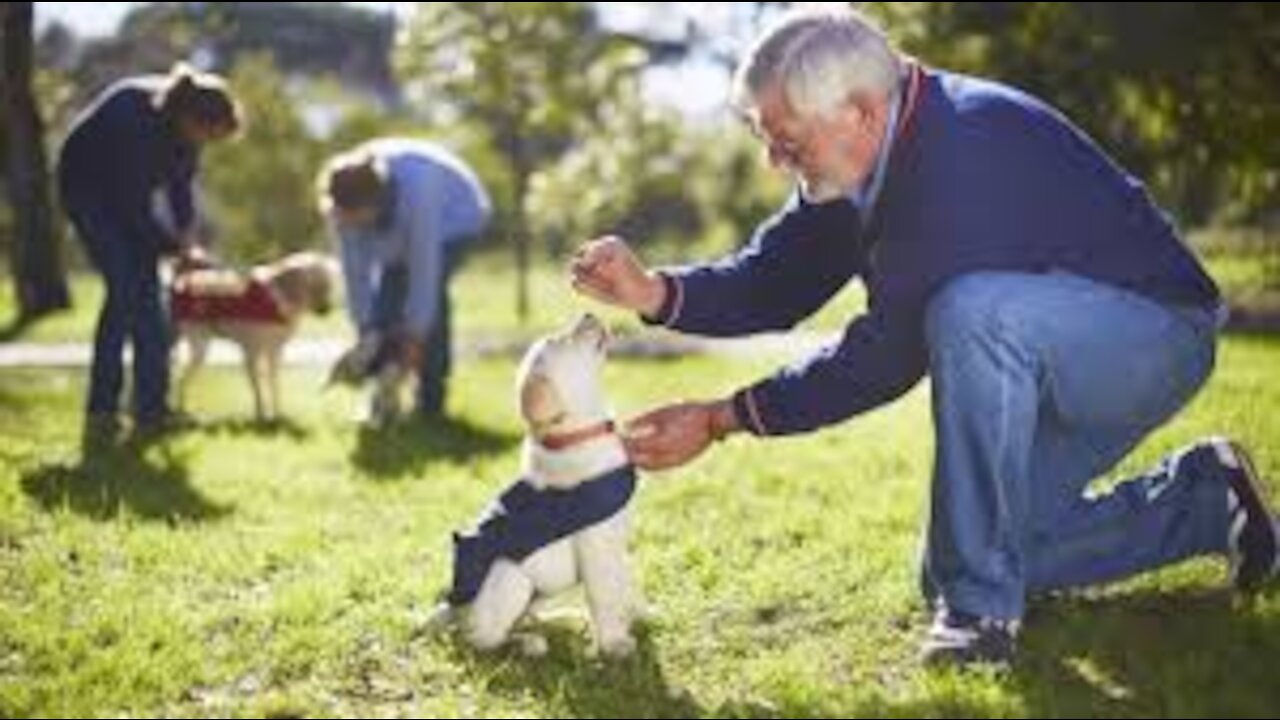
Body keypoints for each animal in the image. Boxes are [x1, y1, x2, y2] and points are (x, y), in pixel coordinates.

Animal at [172, 249, 337, 420]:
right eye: (316, 284)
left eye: (328, 284)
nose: (326, 310)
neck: (280, 295)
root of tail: (183, 282)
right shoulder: (252, 350)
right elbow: (257, 385)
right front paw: (261, 414)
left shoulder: (274, 350)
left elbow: (273, 382)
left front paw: (277, 413)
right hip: (199, 344)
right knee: (181, 378)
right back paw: (182, 410)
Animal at [432, 311, 645, 653]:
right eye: (559, 339)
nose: (587, 312)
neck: (578, 433)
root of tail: (451, 610)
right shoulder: (597, 547)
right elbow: (605, 597)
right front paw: (615, 645)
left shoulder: (617, 544)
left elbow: (624, 584)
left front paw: (638, 615)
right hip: (510, 578)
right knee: (481, 639)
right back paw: (528, 644)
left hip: (539, 592)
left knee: (521, 618)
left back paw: (561, 620)